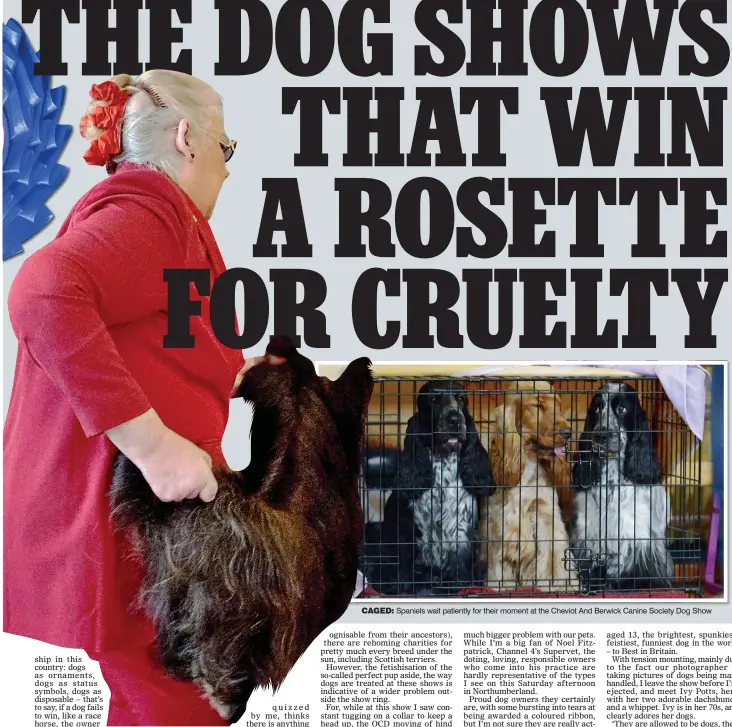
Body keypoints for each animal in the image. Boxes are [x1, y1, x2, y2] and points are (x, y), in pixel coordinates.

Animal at [364, 382, 494, 596]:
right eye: (433, 400)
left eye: (461, 399)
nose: (454, 420)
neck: (443, 466)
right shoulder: (406, 532)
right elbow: (404, 568)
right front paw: (403, 587)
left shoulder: (461, 531)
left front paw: (454, 585)